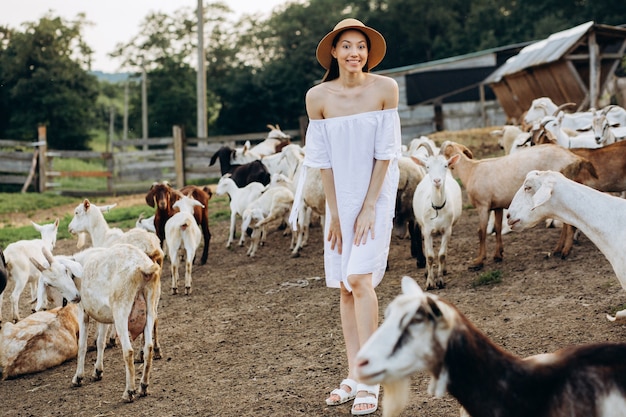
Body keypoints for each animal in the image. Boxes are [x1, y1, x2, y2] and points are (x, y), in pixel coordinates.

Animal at [408, 143, 460, 290]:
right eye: (428, 166)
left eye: (445, 165)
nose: (437, 180)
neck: (437, 207)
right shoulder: (427, 230)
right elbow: (430, 256)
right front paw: (430, 282)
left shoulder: (447, 230)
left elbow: (441, 255)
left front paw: (440, 280)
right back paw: (426, 272)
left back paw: (444, 270)